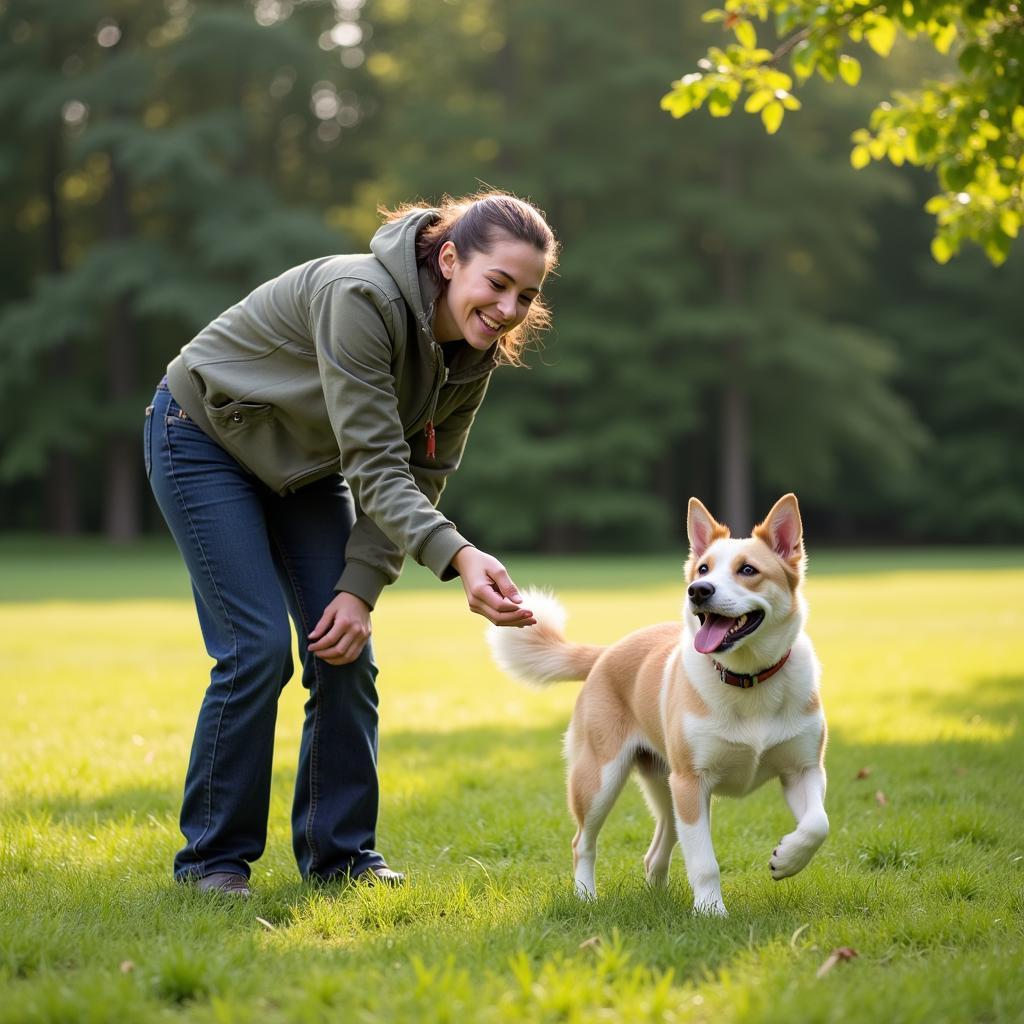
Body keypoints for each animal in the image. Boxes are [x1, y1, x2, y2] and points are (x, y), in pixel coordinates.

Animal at [483, 491, 827, 917]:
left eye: (748, 569)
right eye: (703, 568)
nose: (698, 590)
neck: (747, 679)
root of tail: (606, 652)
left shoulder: (803, 770)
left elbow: (817, 824)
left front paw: (787, 859)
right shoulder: (691, 782)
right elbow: (704, 862)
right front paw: (711, 912)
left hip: (665, 786)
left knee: (658, 845)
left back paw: (657, 896)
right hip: (601, 779)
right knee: (583, 843)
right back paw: (586, 896)